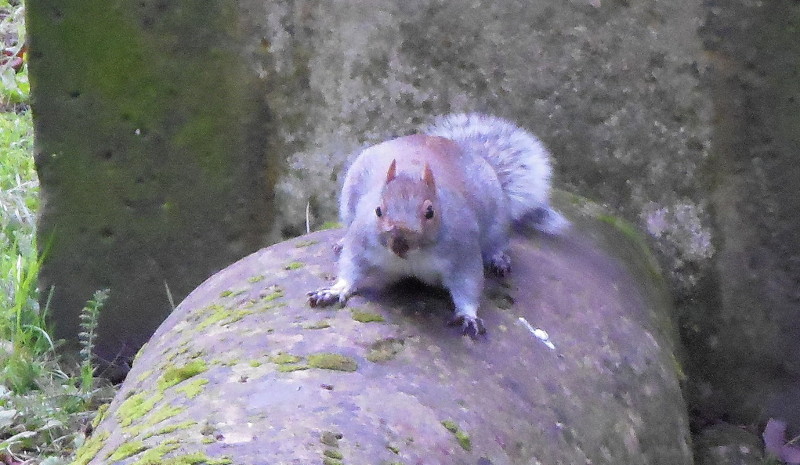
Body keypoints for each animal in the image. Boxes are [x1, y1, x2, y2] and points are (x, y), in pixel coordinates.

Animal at [304, 114, 564, 336]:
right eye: (378, 210)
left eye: (430, 212)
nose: (399, 241)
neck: (411, 257)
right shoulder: (361, 241)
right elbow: (351, 267)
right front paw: (335, 290)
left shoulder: (463, 251)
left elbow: (468, 285)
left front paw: (468, 316)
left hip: (497, 221)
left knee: (496, 244)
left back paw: (498, 259)